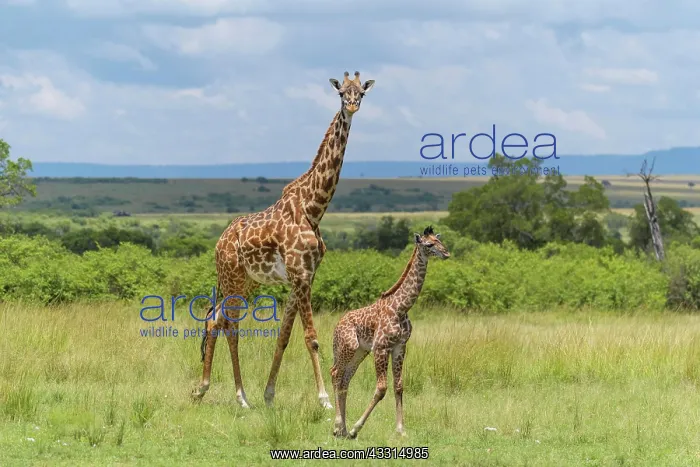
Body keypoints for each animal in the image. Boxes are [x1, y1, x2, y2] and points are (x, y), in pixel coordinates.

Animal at [191, 71, 375, 410]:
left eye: (362, 93)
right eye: (341, 92)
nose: (352, 106)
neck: (314, 207)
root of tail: (220, 242)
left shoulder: (303, 277)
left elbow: (284, 336)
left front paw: (269, 394)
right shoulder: (300, 275)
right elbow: (312, 338)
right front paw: (325, 400)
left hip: (247, 282)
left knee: (217, 320)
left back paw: (209, 391)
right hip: (232, 278)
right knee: (226, 324)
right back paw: (237, 396)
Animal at [330, 226, 450, 438]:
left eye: (439, 240)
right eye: (429, 244)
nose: (446, 253)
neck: (401, 307)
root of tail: (337, 326)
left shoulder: (400, 347)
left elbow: (399, 386)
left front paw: (401, 430)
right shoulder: (381, 347)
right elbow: (381, 388)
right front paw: (356, 428)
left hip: (360, 352)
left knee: (344, 380)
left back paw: (342, 429)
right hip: (348, 347)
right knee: (335, 374)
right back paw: (338, 426)